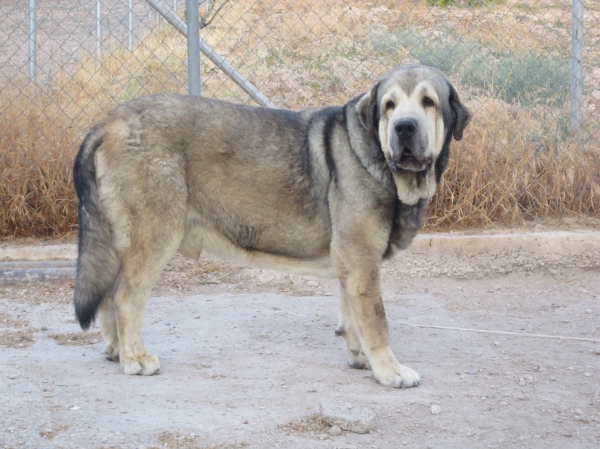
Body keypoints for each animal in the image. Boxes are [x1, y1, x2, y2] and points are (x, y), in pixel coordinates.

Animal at [72, 64, 472, 388]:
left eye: (429, 102)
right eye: (389, 105)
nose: (405, 127)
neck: (377, 158)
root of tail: (107, 122)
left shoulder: (351, 263)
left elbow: (352, 315)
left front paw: (360, 357)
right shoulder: (361, 259)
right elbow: (376, 321)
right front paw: (389, 370)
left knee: (108, 296)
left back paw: (116, 351)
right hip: (154, 237)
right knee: (125, 298)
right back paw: (135, 358)